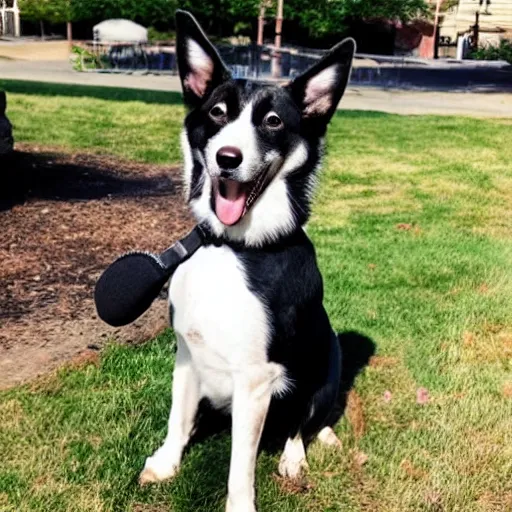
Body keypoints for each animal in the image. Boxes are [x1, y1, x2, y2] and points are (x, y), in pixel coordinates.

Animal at [139, 10, 356, 510]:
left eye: (273, 121)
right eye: (217, 112)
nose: (227, 158)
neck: (233, 247)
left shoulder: (256, 381)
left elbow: (241, 465)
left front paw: (240, 503)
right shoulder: (186, 353)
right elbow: (177, 417)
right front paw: (167, 461)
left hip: (324, 365)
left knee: (303, 423)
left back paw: (298, 455)